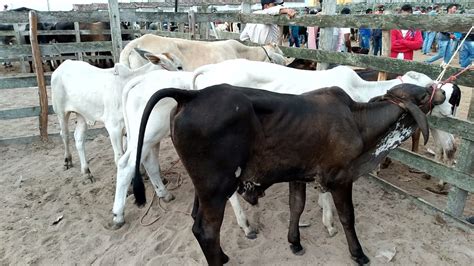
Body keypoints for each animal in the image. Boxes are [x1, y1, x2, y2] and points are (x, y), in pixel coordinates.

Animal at [50, 56, 180, 181]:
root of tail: (64, 64)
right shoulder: (114, 128)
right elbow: (120, 157)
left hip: (81, 114)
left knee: (78, 138)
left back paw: (87, 172)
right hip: (61, 112)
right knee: (65, 135)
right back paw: (67, 161)